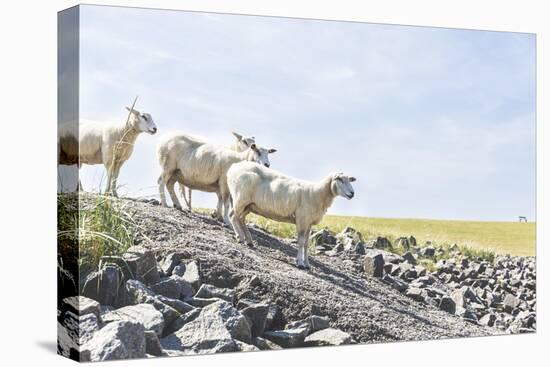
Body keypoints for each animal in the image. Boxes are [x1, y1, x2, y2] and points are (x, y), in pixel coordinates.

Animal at [227, 161, 358, 270]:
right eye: (340, 179)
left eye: (349, 180)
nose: (352, 193)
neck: (317, 193)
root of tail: (233, 167)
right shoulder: (302, 219)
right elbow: (300, 242)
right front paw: (300, 263)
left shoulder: (309, 222)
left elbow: (306, 244)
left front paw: (307, 264)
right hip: (240, 199)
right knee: (233, 216)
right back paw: (240, 237)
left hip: (249, 205)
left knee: (240, 218)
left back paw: (249, 240)